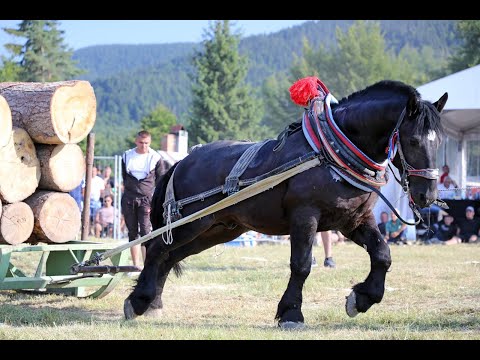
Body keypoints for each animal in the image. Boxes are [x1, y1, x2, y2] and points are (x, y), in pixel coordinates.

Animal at [123, 80, 446, 328]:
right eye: (414, 140)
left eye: (439, 141)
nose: (428, 195)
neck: (327, 152)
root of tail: (182, 161)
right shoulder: (305, 216)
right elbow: (301, 265)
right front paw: (291, 313)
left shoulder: (354, 219)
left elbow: (382, 254)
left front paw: (362, 298)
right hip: (193, 223)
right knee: (157, 248)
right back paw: (138, 301)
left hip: (219, 228)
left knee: (171, 255)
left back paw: (153, 302)